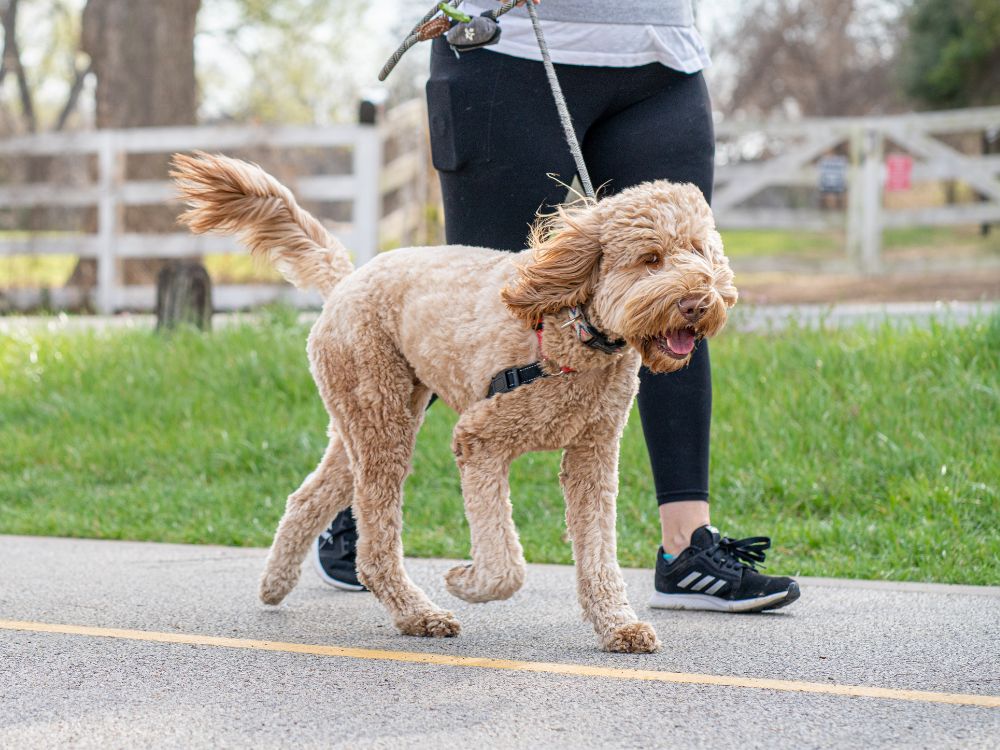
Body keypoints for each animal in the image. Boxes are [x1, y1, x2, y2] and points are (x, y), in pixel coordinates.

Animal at [172, 151, 736, 652]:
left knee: (308, 498)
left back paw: (275, 583)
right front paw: (467, 581)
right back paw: (417, 614)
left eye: (699, 251)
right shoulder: (479, 439)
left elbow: (598, 553)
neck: (573, 329)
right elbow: (506, 564)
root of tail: (348, 279)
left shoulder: (591, 456)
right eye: (651, 259)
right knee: (375, 543)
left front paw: (618, 625)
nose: (698, 302)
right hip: (381, 419)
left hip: (370, 418)